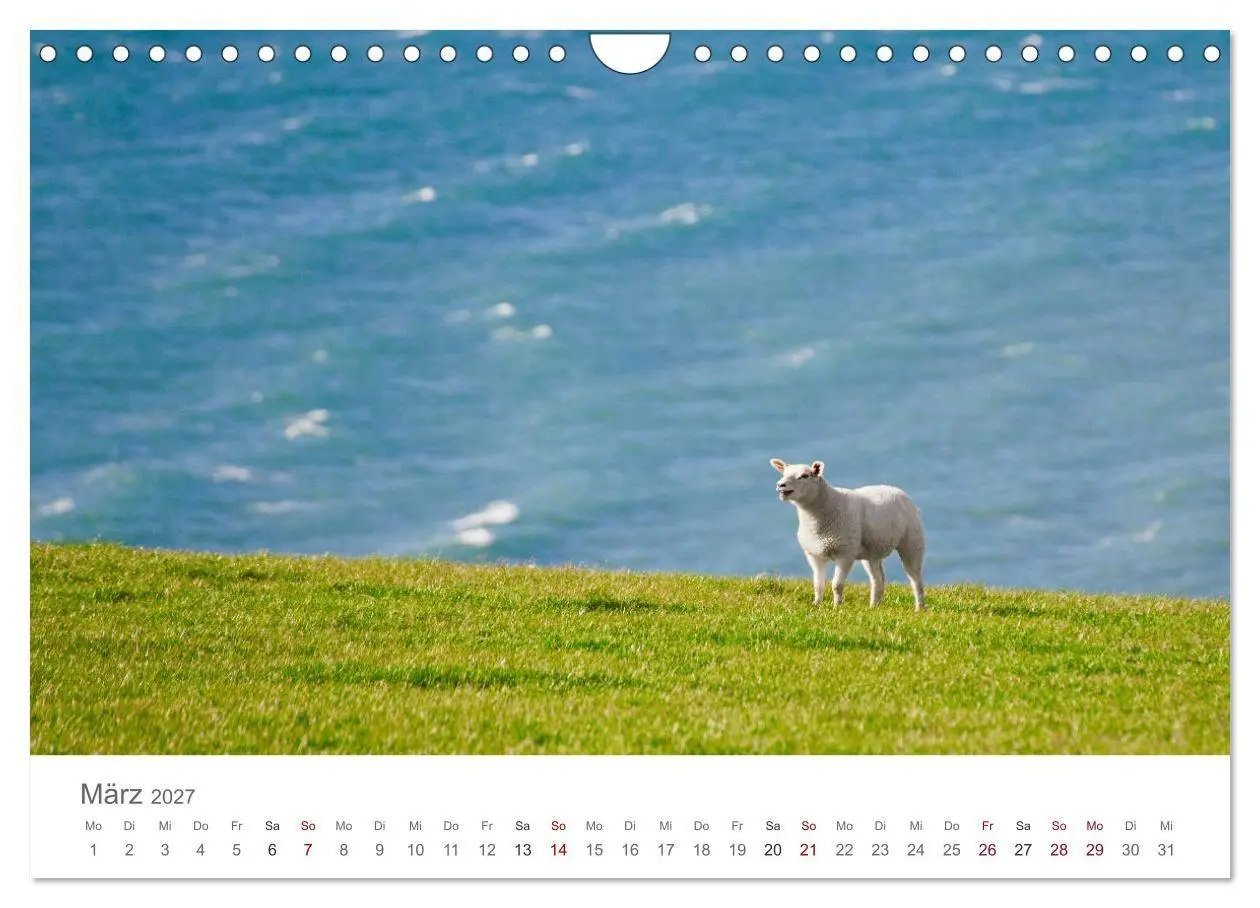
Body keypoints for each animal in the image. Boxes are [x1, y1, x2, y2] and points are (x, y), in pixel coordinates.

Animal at [770, 458, 926, 611]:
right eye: (784, 473)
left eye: (805, 476)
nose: (780, 485)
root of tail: (896, 489)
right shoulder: (814, 554)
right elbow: (818, 584)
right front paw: (816, 604)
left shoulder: (845, 554)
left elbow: (836, 585)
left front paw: (836, 607)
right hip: (872, 551)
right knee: (878, 579)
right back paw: (874, 607)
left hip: (912, 541)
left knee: (915, 578)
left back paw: (920, 608)